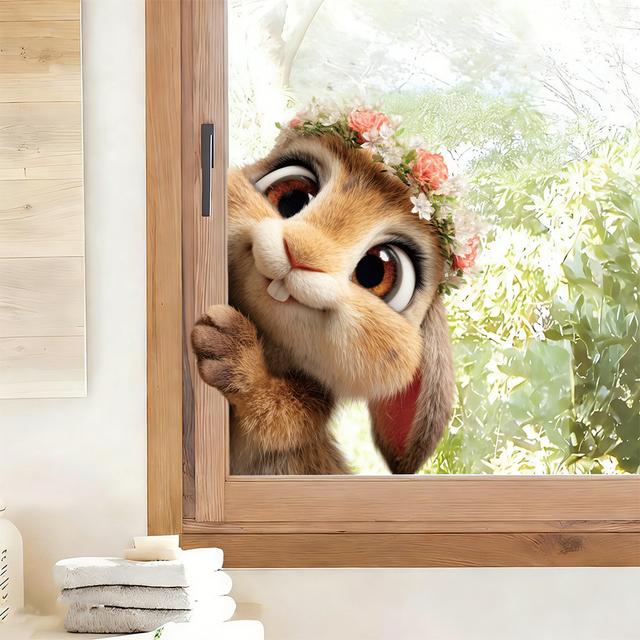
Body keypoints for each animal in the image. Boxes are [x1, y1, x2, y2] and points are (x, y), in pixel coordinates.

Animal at [191, 128, 454, 475]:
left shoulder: (312, 402)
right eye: (292, 197)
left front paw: (230, 351)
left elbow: (284, 415)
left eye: (375, 270)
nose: (299, 252)